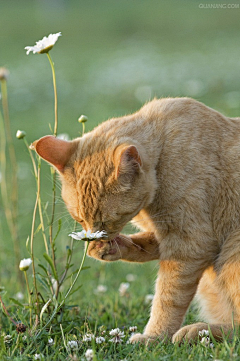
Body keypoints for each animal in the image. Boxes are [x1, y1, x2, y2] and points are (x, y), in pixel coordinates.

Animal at [31, 97, 240, 344]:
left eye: (109, 219)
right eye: (80, 219)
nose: (94, 235)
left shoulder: (190, 245)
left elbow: (168, 298)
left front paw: (154, 336)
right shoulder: (164, 237)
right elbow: (140, 246)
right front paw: (108, 248)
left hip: (233, 251)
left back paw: (198, 331)